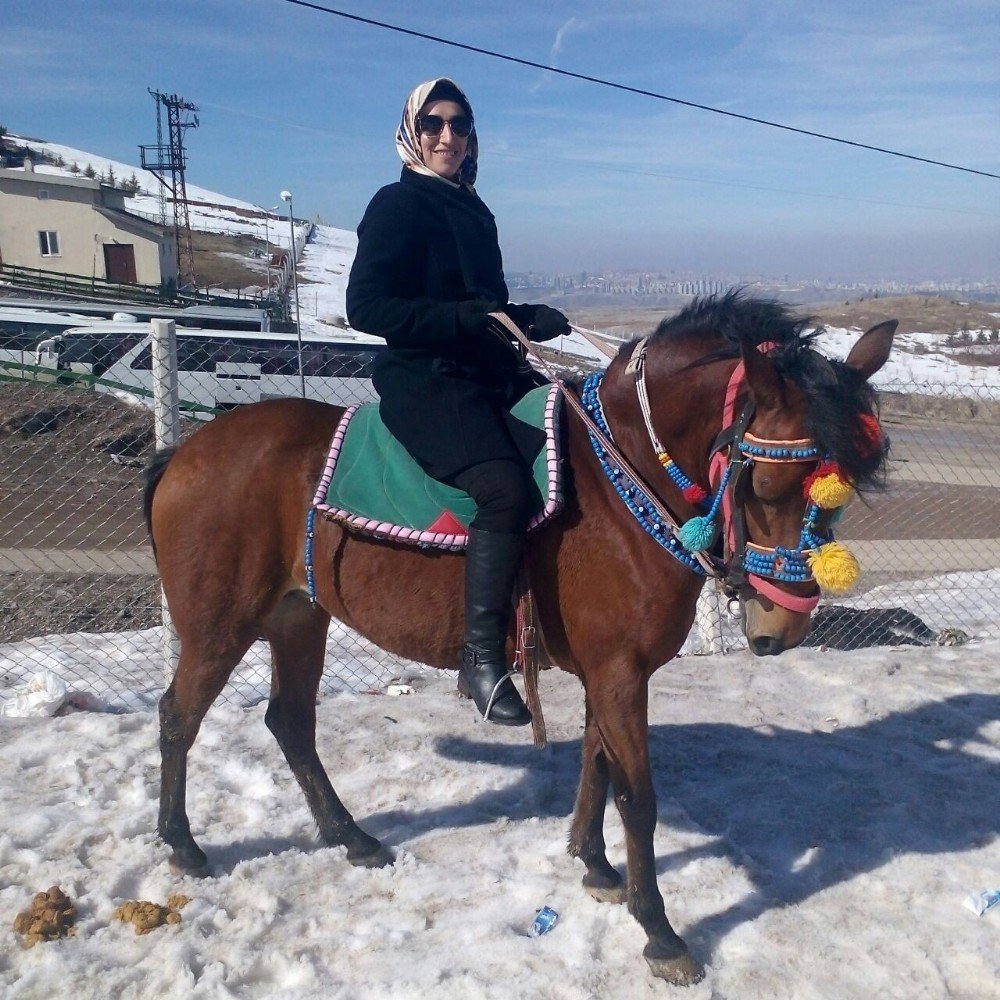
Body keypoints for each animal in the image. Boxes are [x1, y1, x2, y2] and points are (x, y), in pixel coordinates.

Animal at [145, 294, 896, 984]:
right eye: (764, 481)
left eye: (842, 488)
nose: (783, 625)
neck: (616, 484)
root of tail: (187, 450)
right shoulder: (619, 672)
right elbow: (638, 796)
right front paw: (658, 931)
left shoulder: (609, 671)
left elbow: (597, 765)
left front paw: (595, 865)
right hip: (219, 626)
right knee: (179, 716)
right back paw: (182, 845)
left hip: (298, 617)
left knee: (290, 723)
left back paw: (349, 836)